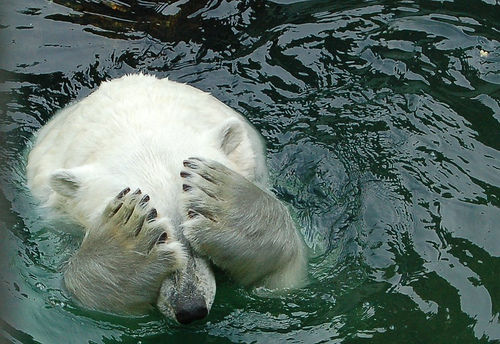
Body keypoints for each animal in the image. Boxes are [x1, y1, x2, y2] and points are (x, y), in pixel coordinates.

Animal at [28, 74, 308, 324]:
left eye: (194, 218)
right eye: (159, 235)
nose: (190, 308)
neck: (137, 118)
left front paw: (229, 202)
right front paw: (122, 244)